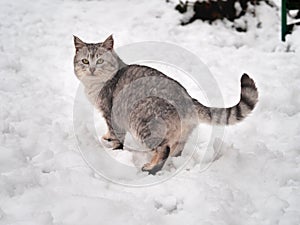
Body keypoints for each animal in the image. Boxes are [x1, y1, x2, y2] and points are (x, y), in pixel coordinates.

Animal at [72, 34, 258, 174]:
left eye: (100, 61)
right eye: (85, 61)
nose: (92, 69)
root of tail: (188, 98)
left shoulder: (112, 115)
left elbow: (117, 138)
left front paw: (114, 151)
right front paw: (107, 137)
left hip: (142, 125)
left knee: (163, 150)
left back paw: (150, 167)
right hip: (179, 135)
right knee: (174, 150)